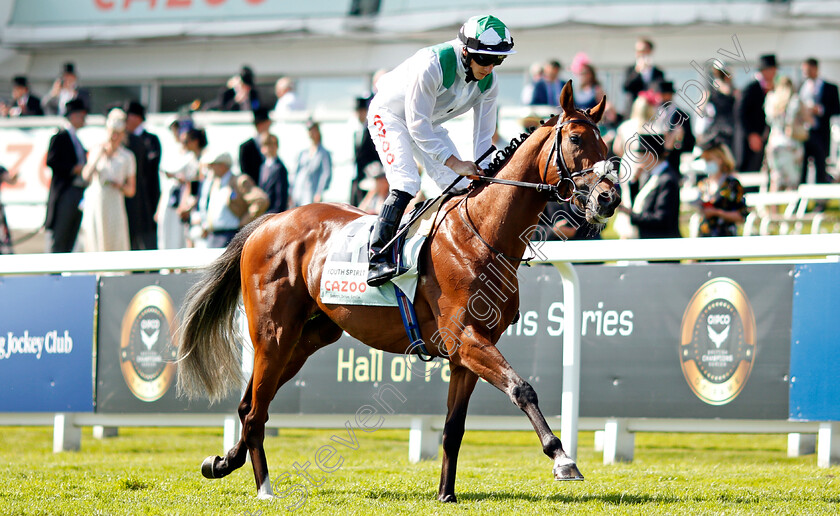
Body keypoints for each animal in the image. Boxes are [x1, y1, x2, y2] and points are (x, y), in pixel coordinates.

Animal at [177, 81, 620, 504]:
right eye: (576, 139)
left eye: (607, 147)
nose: (609, 197)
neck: (482, 232)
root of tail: (269, 221)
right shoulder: (467, 339)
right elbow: (522, 388)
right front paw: (562, 457)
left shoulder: (465, 353)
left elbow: (453, 428)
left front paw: (446, 493)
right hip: (273, 334)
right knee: (255, 413)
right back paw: (265, 488)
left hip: (310, 336)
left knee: (251, 404)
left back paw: (222, 462)